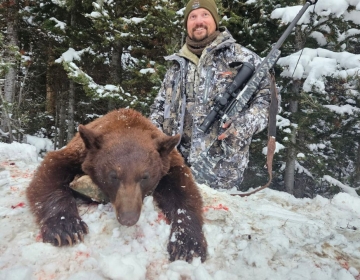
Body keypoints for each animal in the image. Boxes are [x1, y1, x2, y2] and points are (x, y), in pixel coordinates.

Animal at [26, 107, 208, 262]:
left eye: (145, 177)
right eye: (113, 176)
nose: (128, 218)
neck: (126, 122)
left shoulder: (171, 165)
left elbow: (184, 193)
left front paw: (187, 244)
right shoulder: (77, 153)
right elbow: (51, 171)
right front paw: (65, 228)